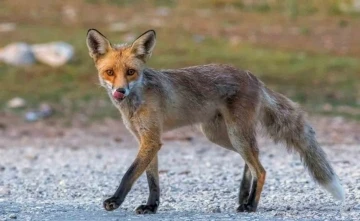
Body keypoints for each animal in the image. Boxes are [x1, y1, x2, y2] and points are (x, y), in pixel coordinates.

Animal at [86, 28, 344, 214]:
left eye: (131, 72)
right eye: (110, 72)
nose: (120, 91)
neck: (136, 101)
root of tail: (253, 77)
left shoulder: (151, 139)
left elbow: (130, 174)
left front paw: (115, 201)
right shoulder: (146, 140)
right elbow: (152, 179)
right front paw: (151, 206)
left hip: (236, 134)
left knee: (261, 169)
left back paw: (251, 205)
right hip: (221, 135)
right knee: (253, 160)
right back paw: (244, 197)